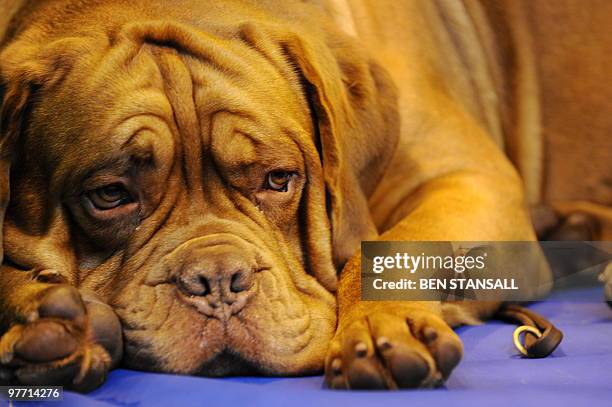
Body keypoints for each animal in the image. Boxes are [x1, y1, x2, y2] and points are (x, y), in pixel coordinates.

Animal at [0, 0, 608, 390]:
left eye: (278, 179)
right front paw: (44, 315)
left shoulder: (470, 180)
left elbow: (395, 247)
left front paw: (380, 326)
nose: (216, 280)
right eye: (110, 195)